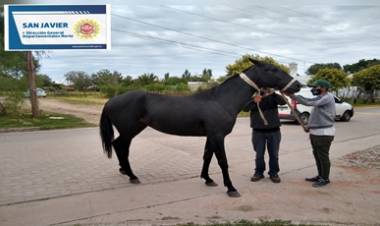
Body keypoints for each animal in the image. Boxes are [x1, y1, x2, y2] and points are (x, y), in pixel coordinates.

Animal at [99, 59, 302, 197]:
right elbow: (222, 161)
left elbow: (207, 157)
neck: (220, 100)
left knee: (120, 147)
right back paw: (131, 175)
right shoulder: (218, 135)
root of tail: (111, 100)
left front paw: (208, 179)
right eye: (272, 69)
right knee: (120, 146)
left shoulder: (211, 136)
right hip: (129, 130)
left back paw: (126, 172)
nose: (298, 85)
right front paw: (231, 188)